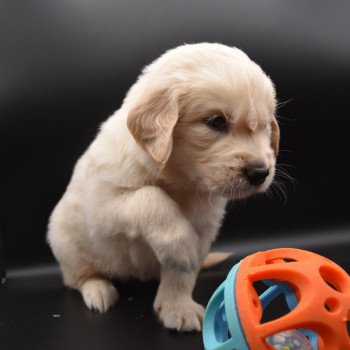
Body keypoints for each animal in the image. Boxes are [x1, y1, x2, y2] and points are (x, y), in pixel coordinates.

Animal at [47, 43, 280, 330]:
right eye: (216, 121)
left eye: (265, 127)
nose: (260, 173)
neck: (181, 182)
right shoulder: (101, 208)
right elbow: (150, 197)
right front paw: (180, 246)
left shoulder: (205, 227)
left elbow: (182, 274)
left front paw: (178, 308)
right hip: (65, 243)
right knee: (79, 277)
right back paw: (98, 291)